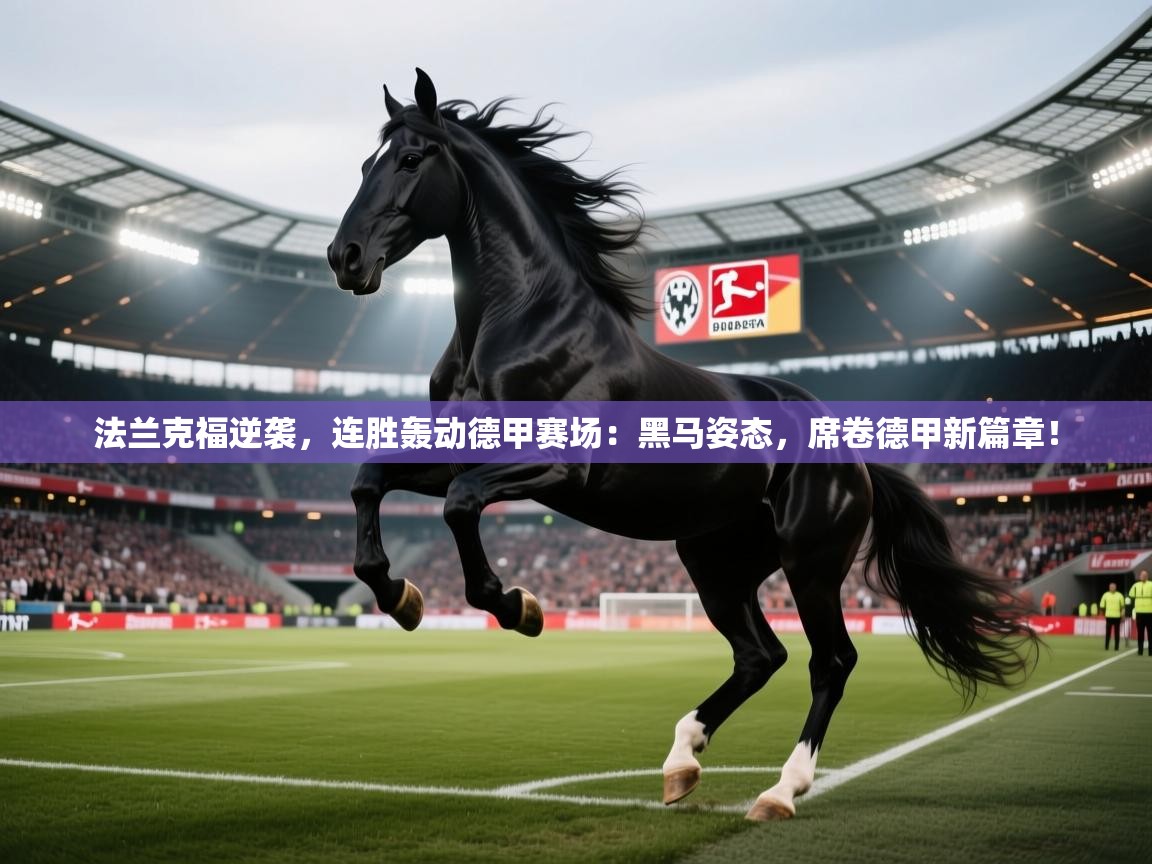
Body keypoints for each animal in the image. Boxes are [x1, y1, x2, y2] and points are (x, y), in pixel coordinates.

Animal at [326, 69, 1038, 821]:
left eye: (410, 159)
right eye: (366, 163)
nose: (344, 257)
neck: (521, 323)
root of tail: (855, 453)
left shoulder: (558, 467)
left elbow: (460, 505)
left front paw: (518, 606)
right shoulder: (459, 452)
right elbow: (370, 480)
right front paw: (401, 594)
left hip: (810, 563)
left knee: (830, 661)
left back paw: (782, 789)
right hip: (716, 561)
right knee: (761, 656)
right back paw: (681, 760)